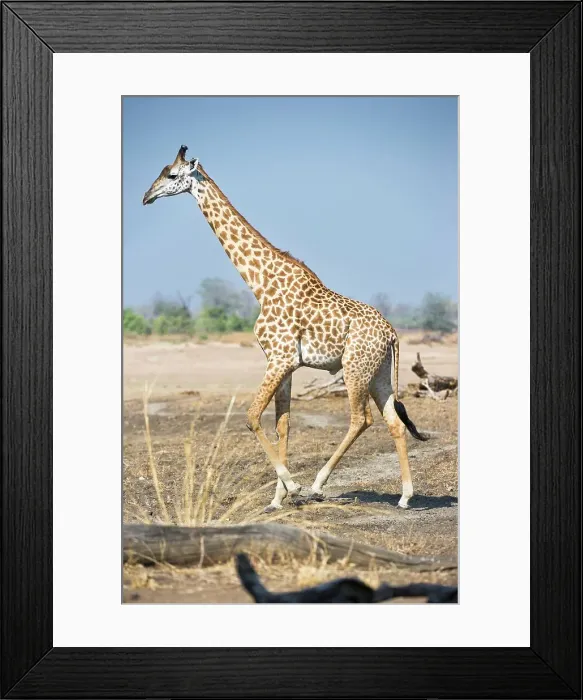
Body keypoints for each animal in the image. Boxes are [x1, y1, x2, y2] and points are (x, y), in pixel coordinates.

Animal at [143, 146, 428, 513]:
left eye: (172, 175)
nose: (146, 197)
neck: (261, 284)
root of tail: (392, 332)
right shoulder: (285, 362)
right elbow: (283, 424)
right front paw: (277, 500)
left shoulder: (279, 358)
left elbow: (252, 417)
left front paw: (292, 486)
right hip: (378, 372)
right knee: (393, 420)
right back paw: (405, 496)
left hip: (355, 368)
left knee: (360, 418)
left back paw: (318, 484)